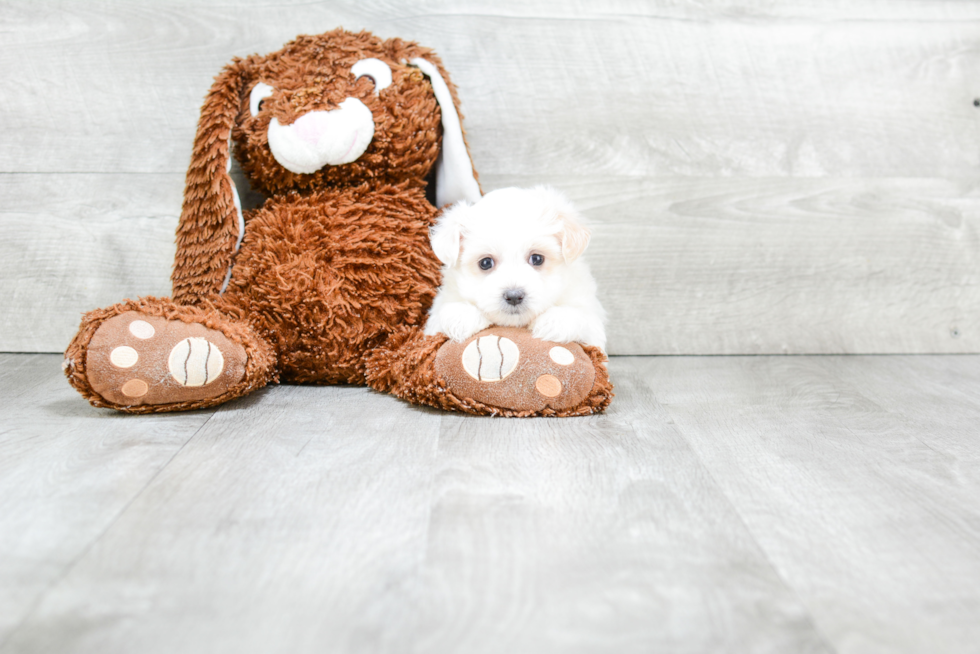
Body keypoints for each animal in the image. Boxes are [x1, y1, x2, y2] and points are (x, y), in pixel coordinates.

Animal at [424, 187, 604, 352]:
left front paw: (555, 320)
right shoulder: (433, 323)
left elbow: (583, 318)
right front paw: (462, 316)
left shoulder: (592, 321)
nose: (514, 296)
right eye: (486, 263)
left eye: (537, 259)